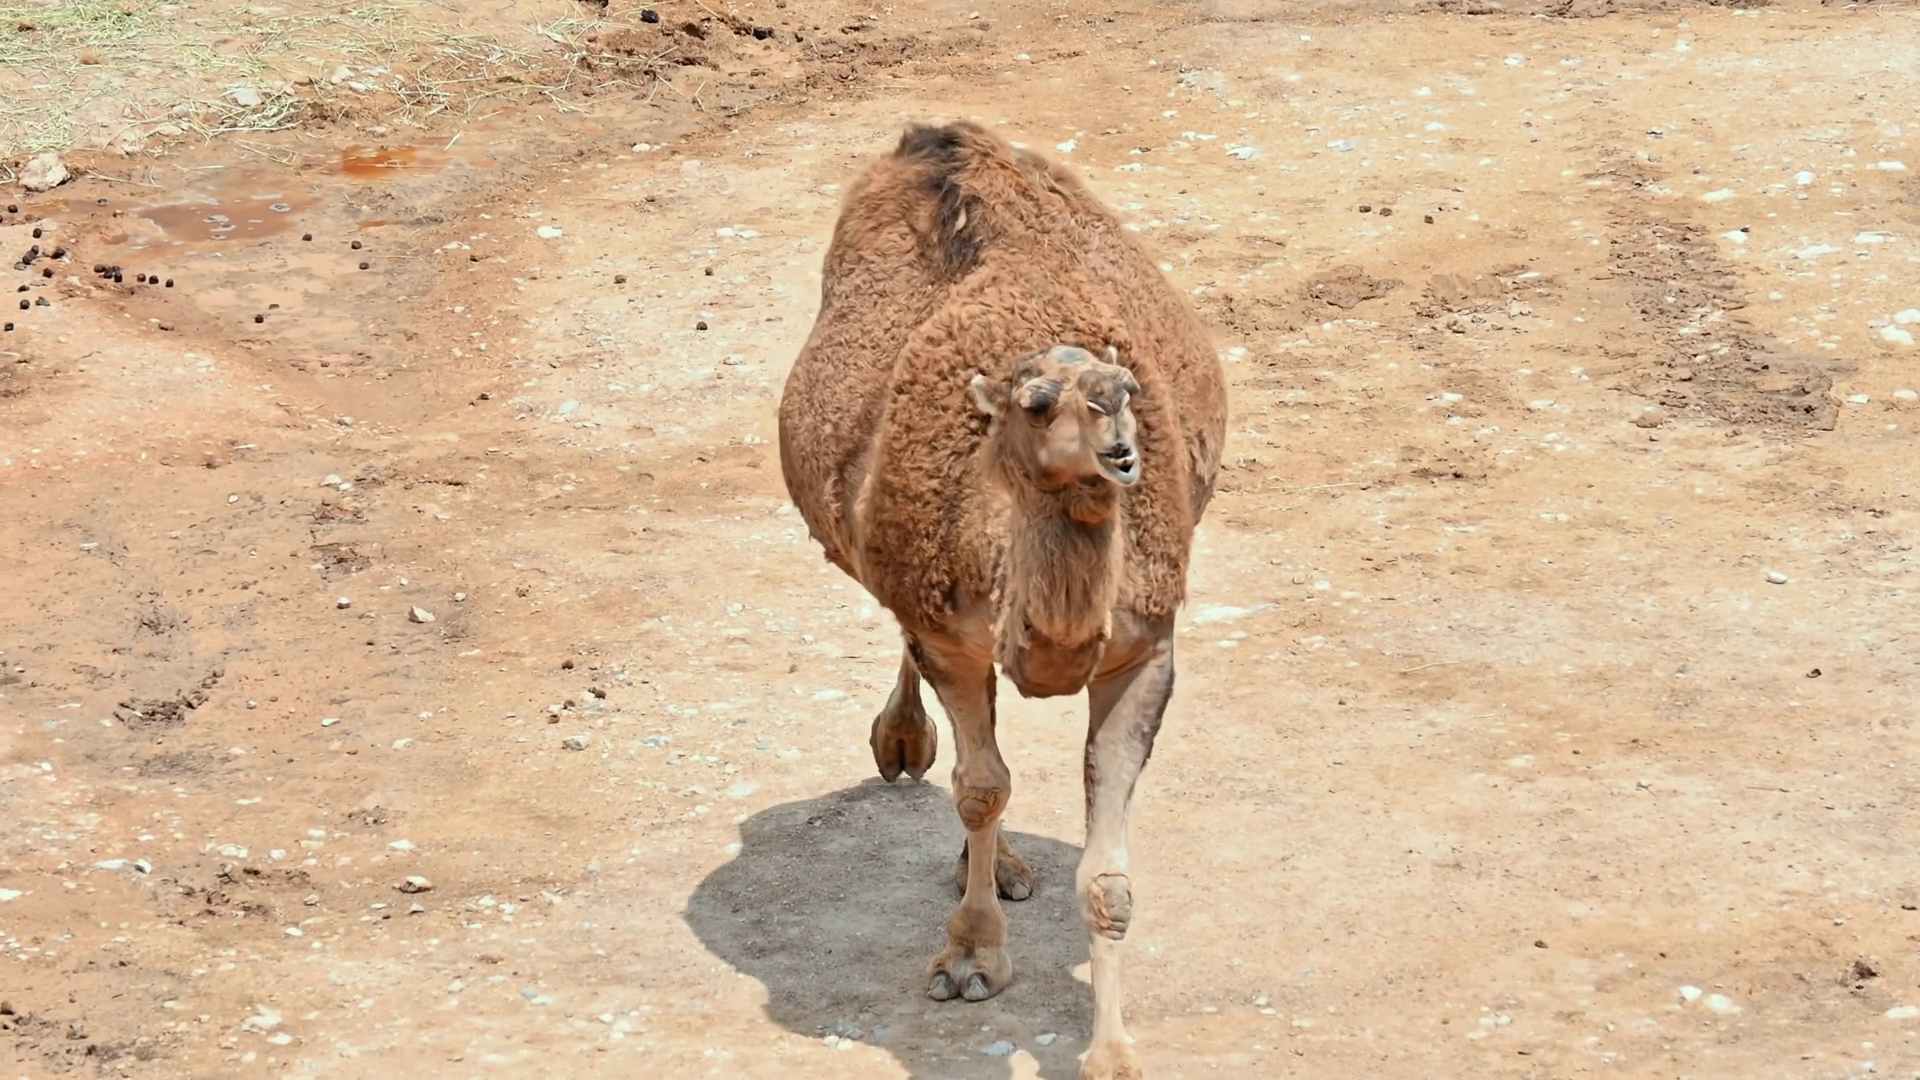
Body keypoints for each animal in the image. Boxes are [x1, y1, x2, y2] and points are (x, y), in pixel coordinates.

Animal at [776, 120, 1227, 1080]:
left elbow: (1107, 875)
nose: (1123, 450)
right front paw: (970, 959)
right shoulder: (947, 630)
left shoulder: (1146, 649)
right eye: (1038, 402)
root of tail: (934, 136)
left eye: (1127, 392)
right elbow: (980, 787)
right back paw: (912, 756)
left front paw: (1112, 1052)